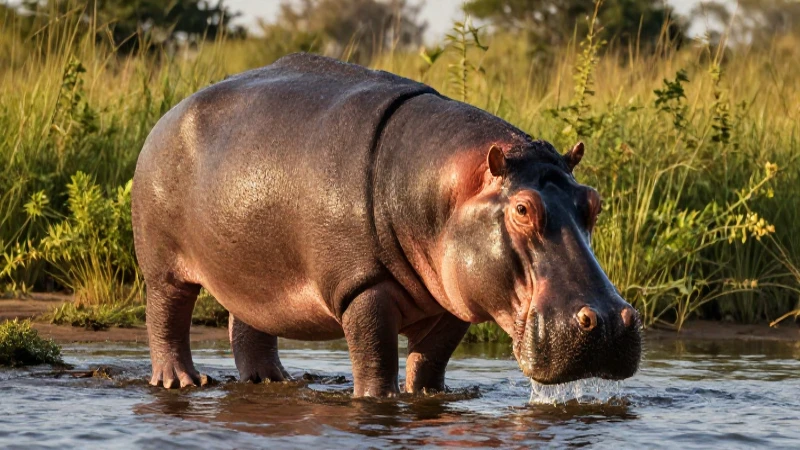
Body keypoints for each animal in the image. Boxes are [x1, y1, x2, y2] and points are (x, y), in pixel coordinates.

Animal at [132, 53, 641, 397]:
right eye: (522, 209)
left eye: (592, 202)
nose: (610, 323)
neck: (445, 189)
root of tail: (170, 113)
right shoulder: (362, 287)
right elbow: (376, 358)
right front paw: (378, 401)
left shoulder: (454, 298)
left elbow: (430, 361)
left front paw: (429, 397)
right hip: (162, 263)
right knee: (166, 315)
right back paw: (181, 383)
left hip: (253, 265)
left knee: (250, 321)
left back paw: (272, 380)